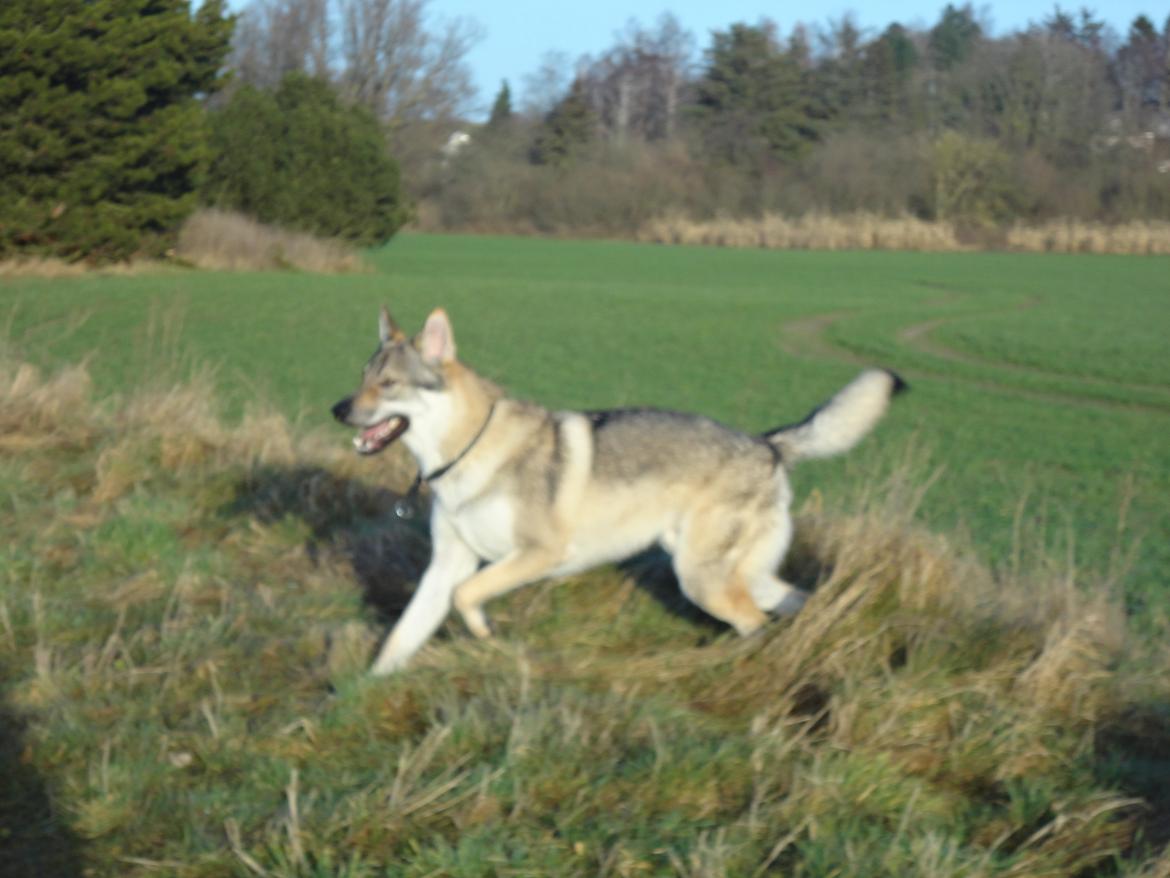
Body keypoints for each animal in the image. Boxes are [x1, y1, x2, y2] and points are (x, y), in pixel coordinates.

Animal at [329, 306, 903, 678]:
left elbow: (466, 596)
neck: (467, 452)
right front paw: (359, 697)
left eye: (388, 385)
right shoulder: (448, 563)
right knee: (795, 600)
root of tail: (767, 444)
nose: (338, 408)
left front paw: (485, 633)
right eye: (362, 376)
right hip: (736, 575)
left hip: (703, 581)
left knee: (755, 621)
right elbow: (400, 638)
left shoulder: (536, 555)